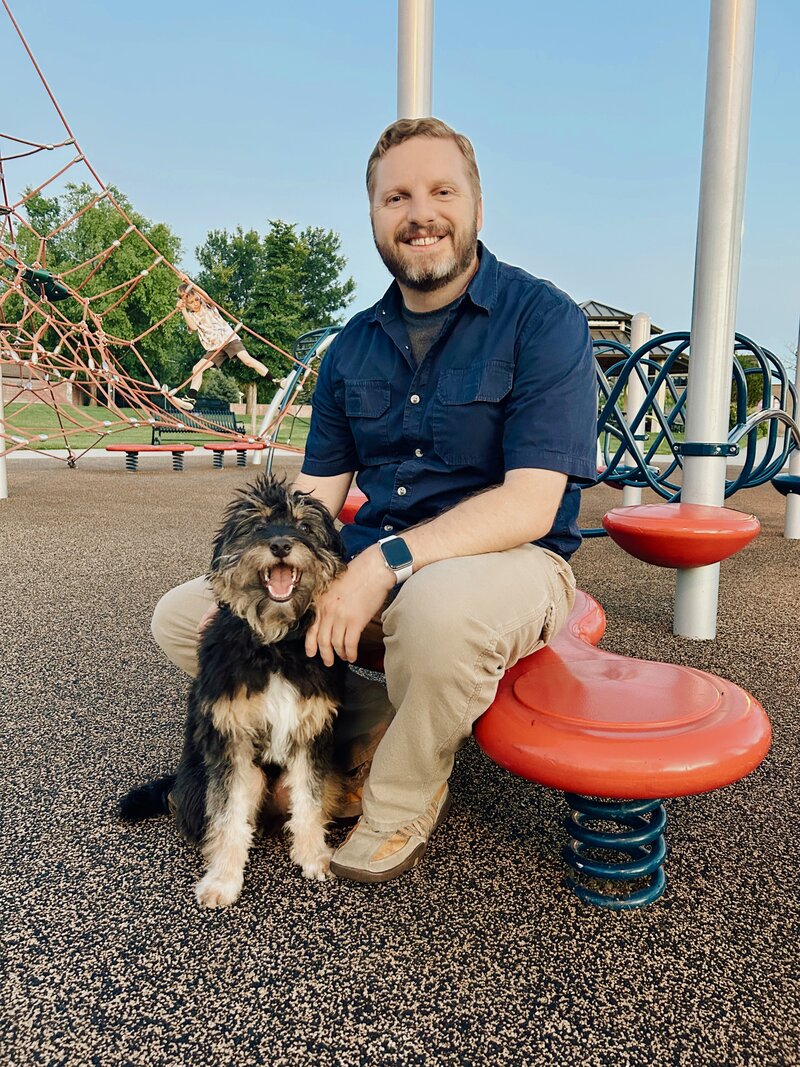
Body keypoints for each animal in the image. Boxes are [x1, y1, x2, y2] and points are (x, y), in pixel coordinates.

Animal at [120, 475, 347, 909]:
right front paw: (223, 880)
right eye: (257, 524)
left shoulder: (311, 736)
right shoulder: (231, 742)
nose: (281, 545)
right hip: (217, 779)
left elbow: (309, 803)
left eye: (304, 526)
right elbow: (227, 816)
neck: (274, 644)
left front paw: (314, 858)